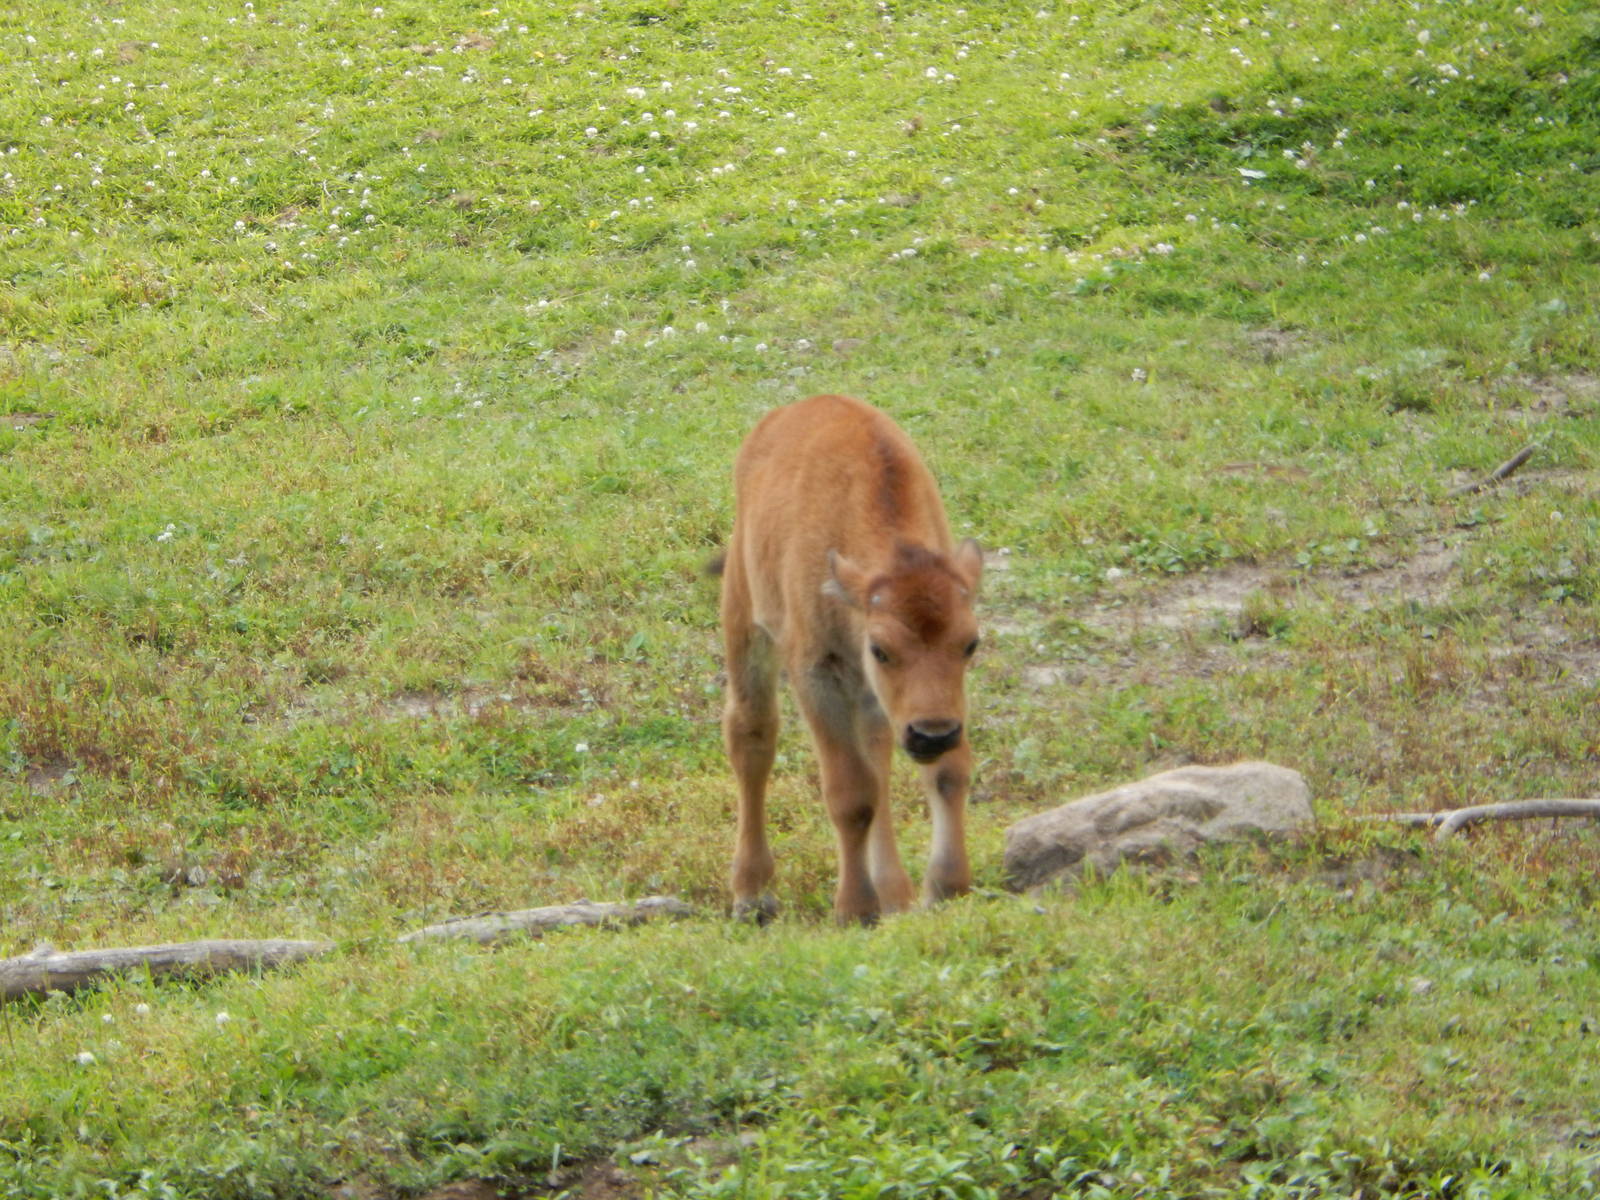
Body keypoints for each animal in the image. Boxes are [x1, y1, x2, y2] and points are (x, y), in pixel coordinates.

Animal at [717, 394, 983, 924]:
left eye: (971, 644)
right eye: (880, 648)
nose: (932, 734)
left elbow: (946, 772)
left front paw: (945, 887)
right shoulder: (816, 674)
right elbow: (850, 793)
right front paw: (854, 910)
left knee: (877, 755)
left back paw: (894, 891)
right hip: (744, 614)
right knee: (751, 734)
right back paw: (752, 894)